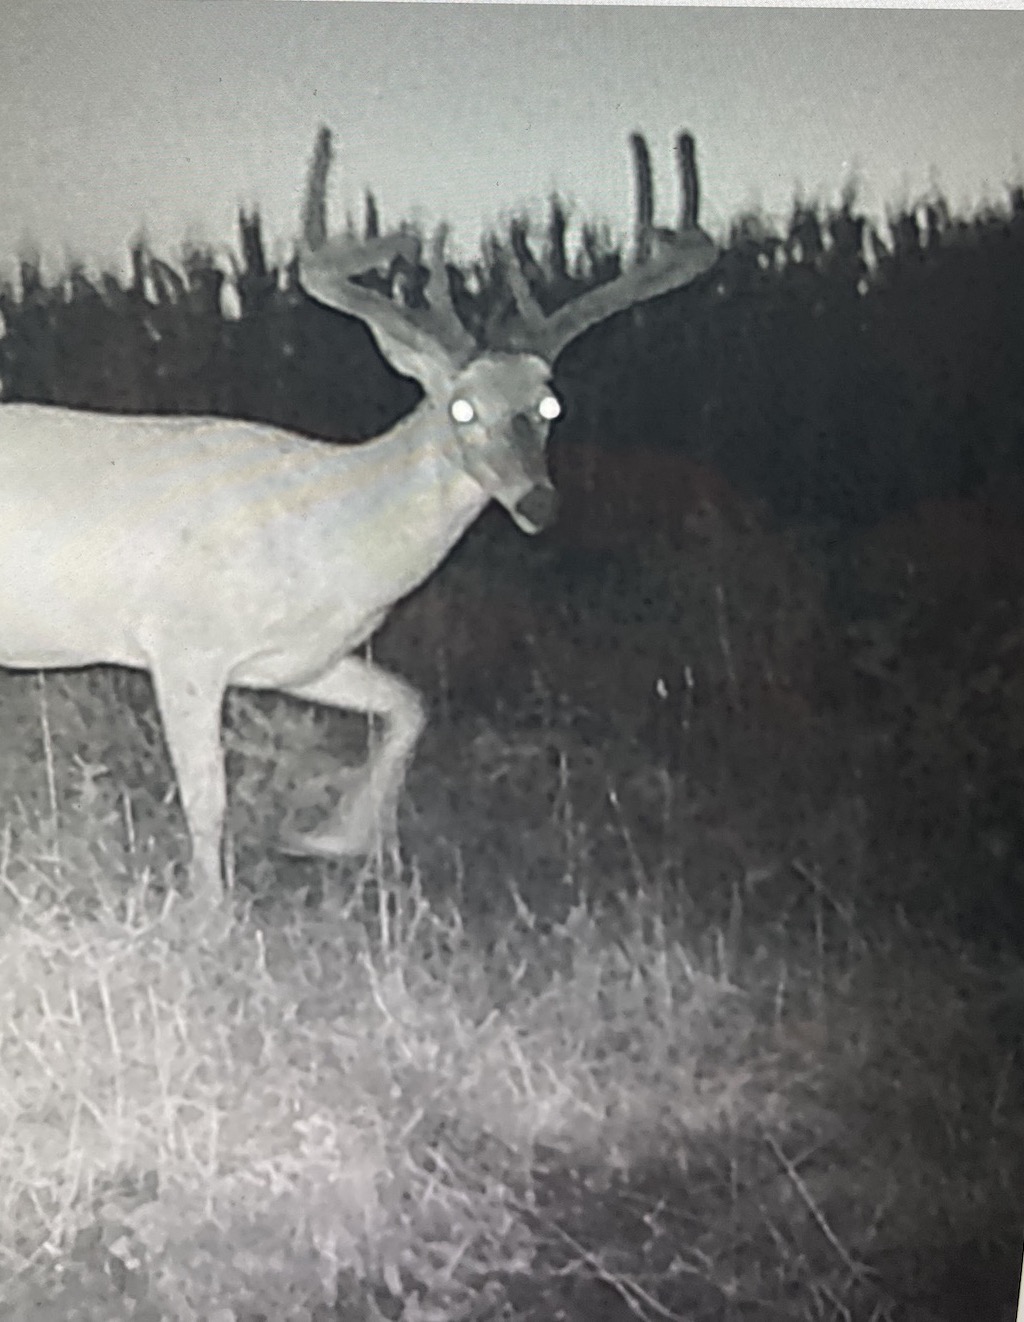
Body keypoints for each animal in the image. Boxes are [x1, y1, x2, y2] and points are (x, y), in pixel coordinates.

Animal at [0, 126, 718, 906]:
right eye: (462, 409)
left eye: (551, 405)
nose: (538, 503)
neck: (332, 538)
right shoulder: (183, 643)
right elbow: (208, 799)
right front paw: (210, 911)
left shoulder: (302, 660)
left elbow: (411, 704)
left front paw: (334, 836)